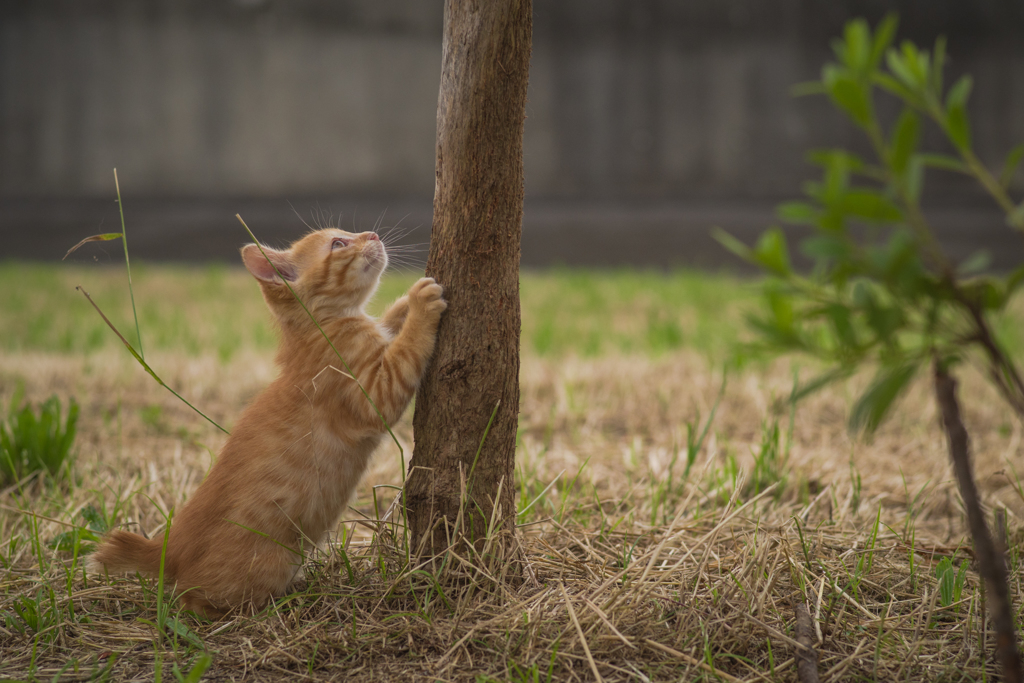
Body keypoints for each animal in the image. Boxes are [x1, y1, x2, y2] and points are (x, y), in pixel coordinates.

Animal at [86, 227, 442, 618]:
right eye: (338, 244)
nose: (373, 234)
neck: (323, 326)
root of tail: (169, 548)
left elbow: (389, 326)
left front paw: (404, 302)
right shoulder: (372, 393)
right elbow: (405, 352)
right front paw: (422, 304)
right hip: (265, 566)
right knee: (193, 602)